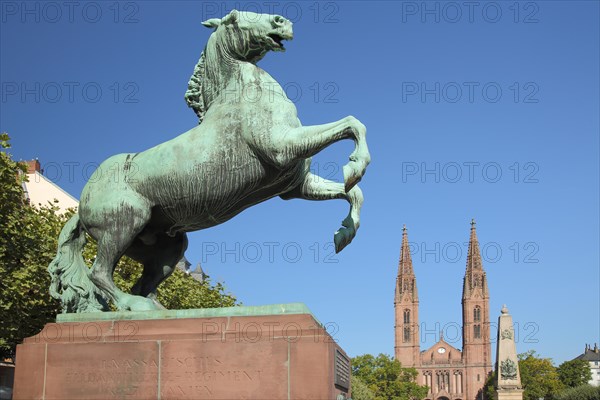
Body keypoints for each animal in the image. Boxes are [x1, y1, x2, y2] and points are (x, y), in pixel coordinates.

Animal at [49, 10, 370, 312]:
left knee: (142, 284)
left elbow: (353, 192)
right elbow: (353, 124)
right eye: (233, 17)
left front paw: (343, 234)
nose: (281, 21)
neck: (241, 93)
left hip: (168, 248)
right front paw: (354, 165)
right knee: (100, 273)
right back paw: (134, 306)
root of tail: (81, 206)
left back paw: (160, 310)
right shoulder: (284, 147)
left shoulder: (295, 185)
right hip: (124, 225)